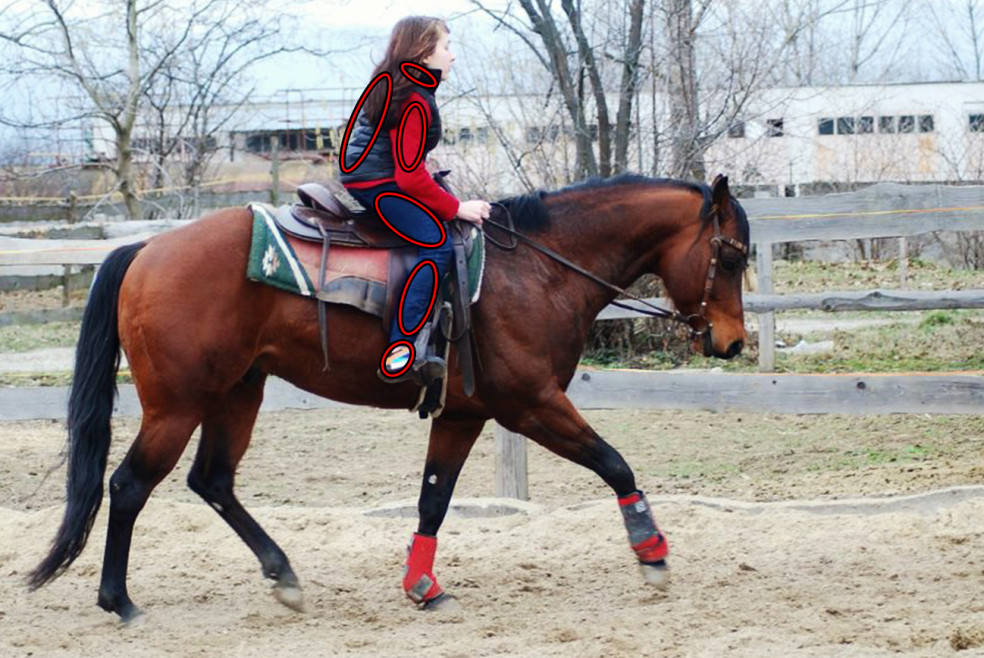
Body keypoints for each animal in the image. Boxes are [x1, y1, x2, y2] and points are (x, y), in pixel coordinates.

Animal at [26, 172, 748, 616]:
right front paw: (652, 554)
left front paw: (422, 586)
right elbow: (615, 463)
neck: (535, 269)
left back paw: (283, 575)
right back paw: (119, 601)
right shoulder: (532, 405)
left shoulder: (463, 414)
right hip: (177, 406)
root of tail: (146, 250)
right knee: (128, 486)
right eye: (734, 253)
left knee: (213, 481)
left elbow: (433, 501)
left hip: (237, 393)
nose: (734, 342)